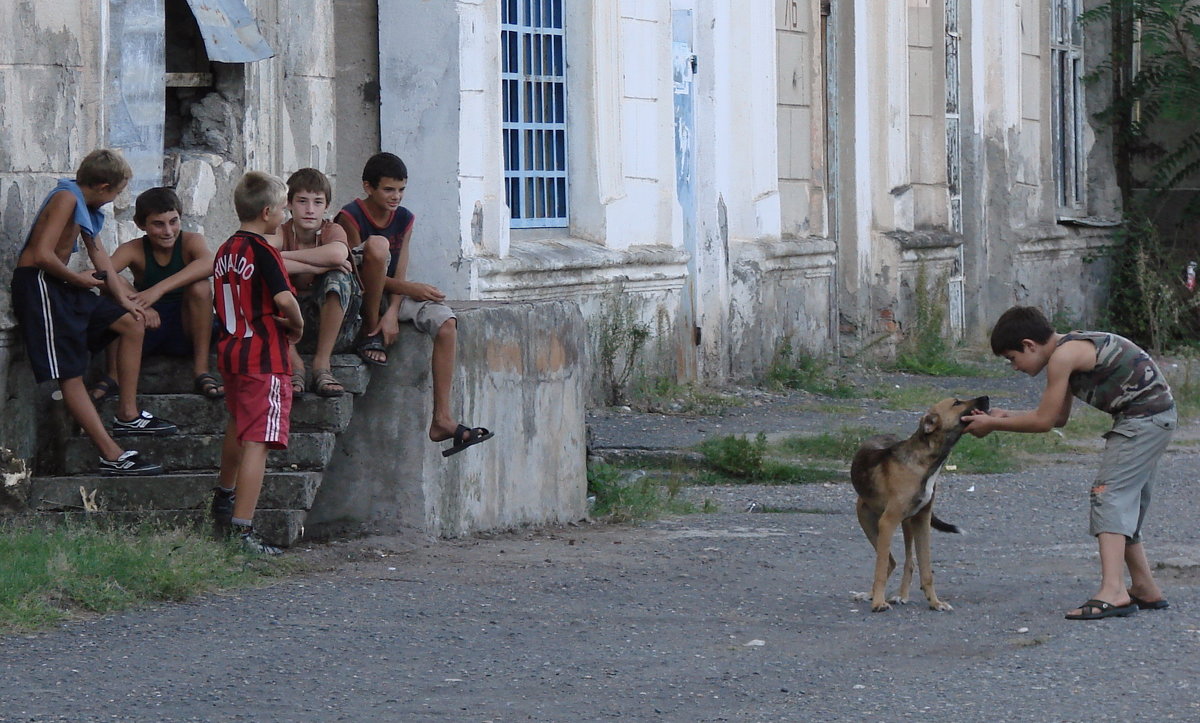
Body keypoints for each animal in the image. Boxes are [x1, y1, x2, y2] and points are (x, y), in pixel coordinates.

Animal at [854, 393, 993, 607]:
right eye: (956, 403)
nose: (986, 397)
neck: (926, 462)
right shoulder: (887, 522)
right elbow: (880, 568)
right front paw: (878, 603)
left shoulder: (922, 521)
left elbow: (926, 569)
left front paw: (935, 603)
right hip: (867, 520)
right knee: (889, 562)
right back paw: (873, 595)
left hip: (907, 523)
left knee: (907, 562)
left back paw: (901, 595)